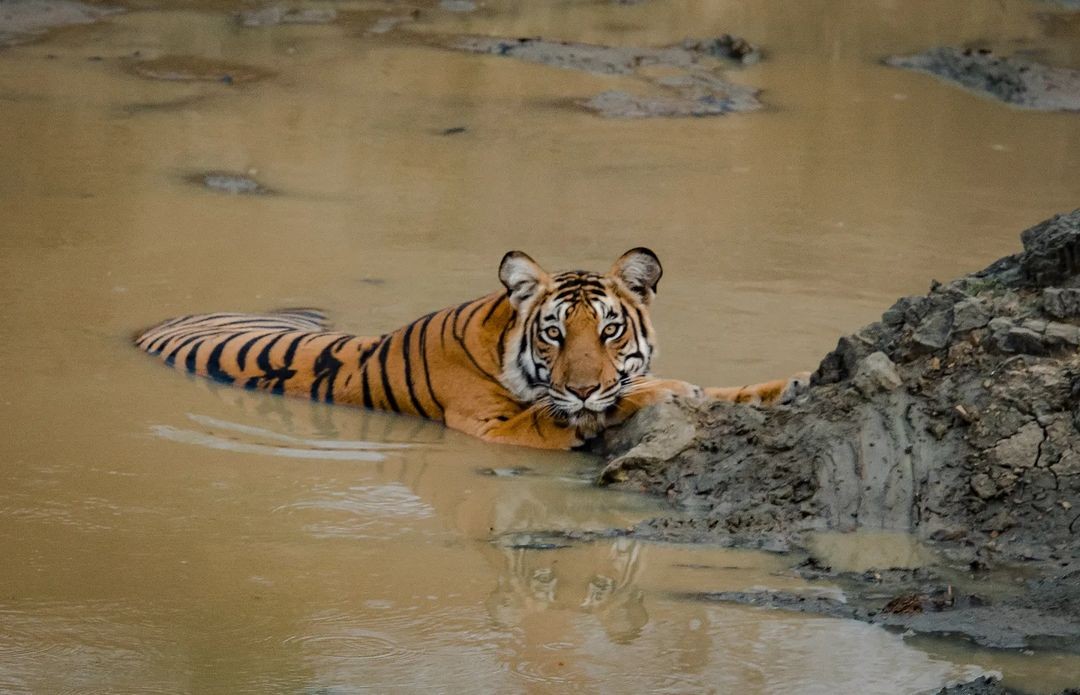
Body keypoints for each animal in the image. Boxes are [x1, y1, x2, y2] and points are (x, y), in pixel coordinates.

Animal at [134, 248, 809, 449]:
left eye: (609, 330)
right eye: (554, 332)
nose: (583, 385)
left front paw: (790, 382)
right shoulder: (496, 426)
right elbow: (598, 406)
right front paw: (666, 390)